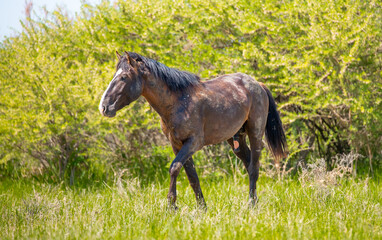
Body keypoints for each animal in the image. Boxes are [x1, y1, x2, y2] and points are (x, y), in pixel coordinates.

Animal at [98, 51, 286, 209]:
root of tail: (257, 84)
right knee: (249, 164)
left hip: (255, 133)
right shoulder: (177, 144)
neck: (177, 102)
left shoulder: (193, 143)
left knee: (254, 167)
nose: (104, 107)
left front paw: (171, 206)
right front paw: (202, 207)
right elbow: (192, 176)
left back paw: (251, 205)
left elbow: (174, 168)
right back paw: (255, 200)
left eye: (123, 77)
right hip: (236, 139)